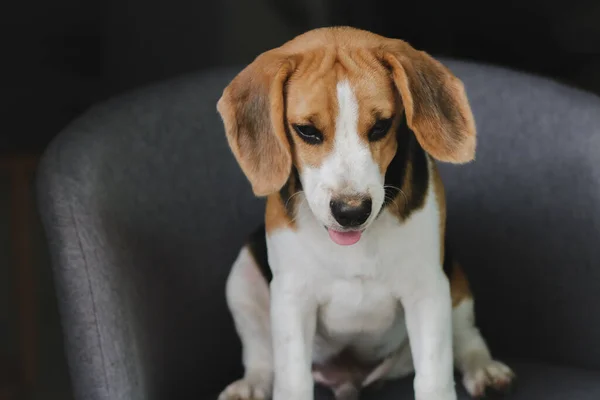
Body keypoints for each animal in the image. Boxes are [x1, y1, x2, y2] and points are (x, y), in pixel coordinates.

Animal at [216, 26, 516, 400]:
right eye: (307, 131)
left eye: (381, 127)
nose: (351, 211)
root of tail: (351, 379)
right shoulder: (292, 298)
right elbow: (293, 378)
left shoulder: (427, 291)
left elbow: (433, 376)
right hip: (241, 278)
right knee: (260, 354)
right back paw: (252, 384)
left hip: (454, 283)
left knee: (465, 334)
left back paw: (483, 368)